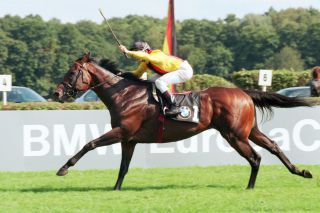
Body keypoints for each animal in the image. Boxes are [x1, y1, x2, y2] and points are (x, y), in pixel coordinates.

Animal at [53, 52, 312, 190]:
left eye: (72, 72)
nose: (56, 93)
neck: (124, 94)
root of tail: (244, 93)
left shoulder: (122, 132)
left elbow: (90, 144)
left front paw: (63, 168)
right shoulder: (129, 139)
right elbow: (123, 167)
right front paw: (116, 189)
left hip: (234, 135)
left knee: (255, 157)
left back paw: (250, 187)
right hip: (249, 131)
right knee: (273, 146)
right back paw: (301, 172)